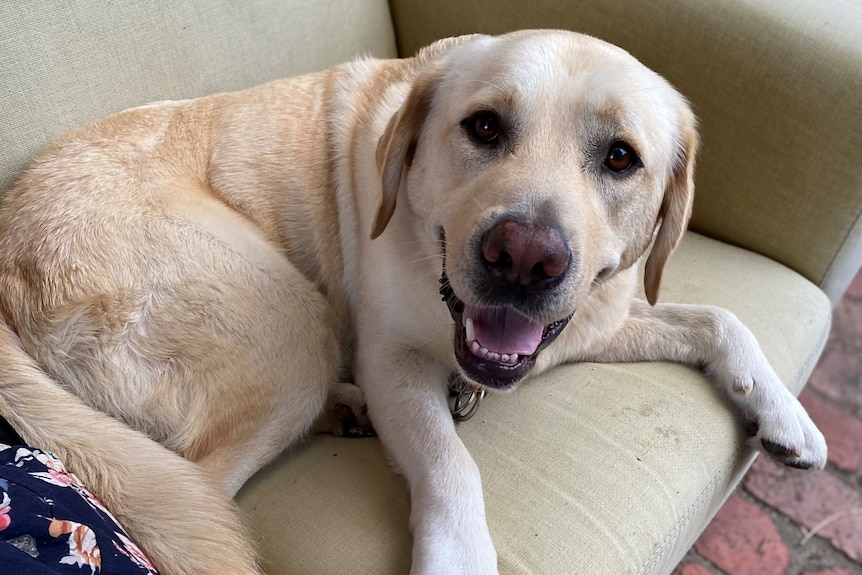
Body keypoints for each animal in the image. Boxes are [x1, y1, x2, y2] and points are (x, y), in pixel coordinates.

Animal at [0, 30, 828, 575]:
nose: (523, 257)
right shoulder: (393, 360)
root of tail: (6, 245)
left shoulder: (590, 321)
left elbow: (717, 318)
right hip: (291, 322)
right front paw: (459, 554)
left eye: (621, 157)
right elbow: (451, 463)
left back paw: (343, 408)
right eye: (484, 126)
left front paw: (782, 412)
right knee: (191, 493)